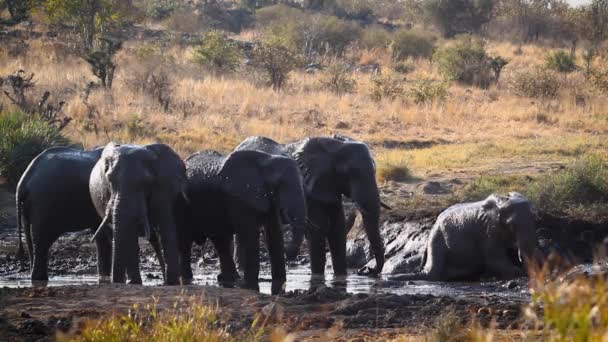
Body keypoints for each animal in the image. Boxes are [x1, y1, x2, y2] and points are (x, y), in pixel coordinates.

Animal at [388, 192, 540, 280]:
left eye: (535, 220)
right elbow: (495, 260)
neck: (501, 202)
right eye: (511, 225)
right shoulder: (488, 230)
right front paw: (517, 271)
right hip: (437, 235)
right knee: (433, 271)